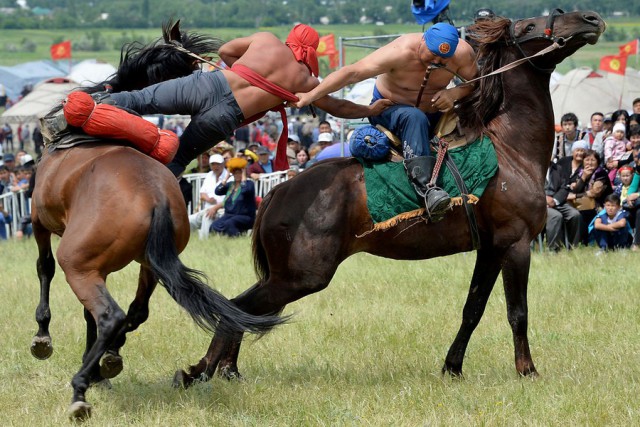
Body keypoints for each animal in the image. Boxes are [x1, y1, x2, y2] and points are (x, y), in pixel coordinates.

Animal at [27, 20, 282, 422]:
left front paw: (42, 338)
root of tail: (155, 197)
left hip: (80, 264)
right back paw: (106, 362)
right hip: (147, 264)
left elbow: (44, 268)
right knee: (134, 312)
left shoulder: (40, 219)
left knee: (110, 314)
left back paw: (82, 387)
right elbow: (88, 313)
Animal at [174, 10, 604, 392]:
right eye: (531, 26)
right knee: (237, 306)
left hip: (288, 276)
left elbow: (473, 309)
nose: (590, 19)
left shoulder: (490, 249)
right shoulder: (515, 244)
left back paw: (223, 368)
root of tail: (280, 188)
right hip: (301, 276)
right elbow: (518, 313)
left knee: (241, 310)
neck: (509, 149)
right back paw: (200, 370)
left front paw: (453, 367)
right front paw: (527, 370)